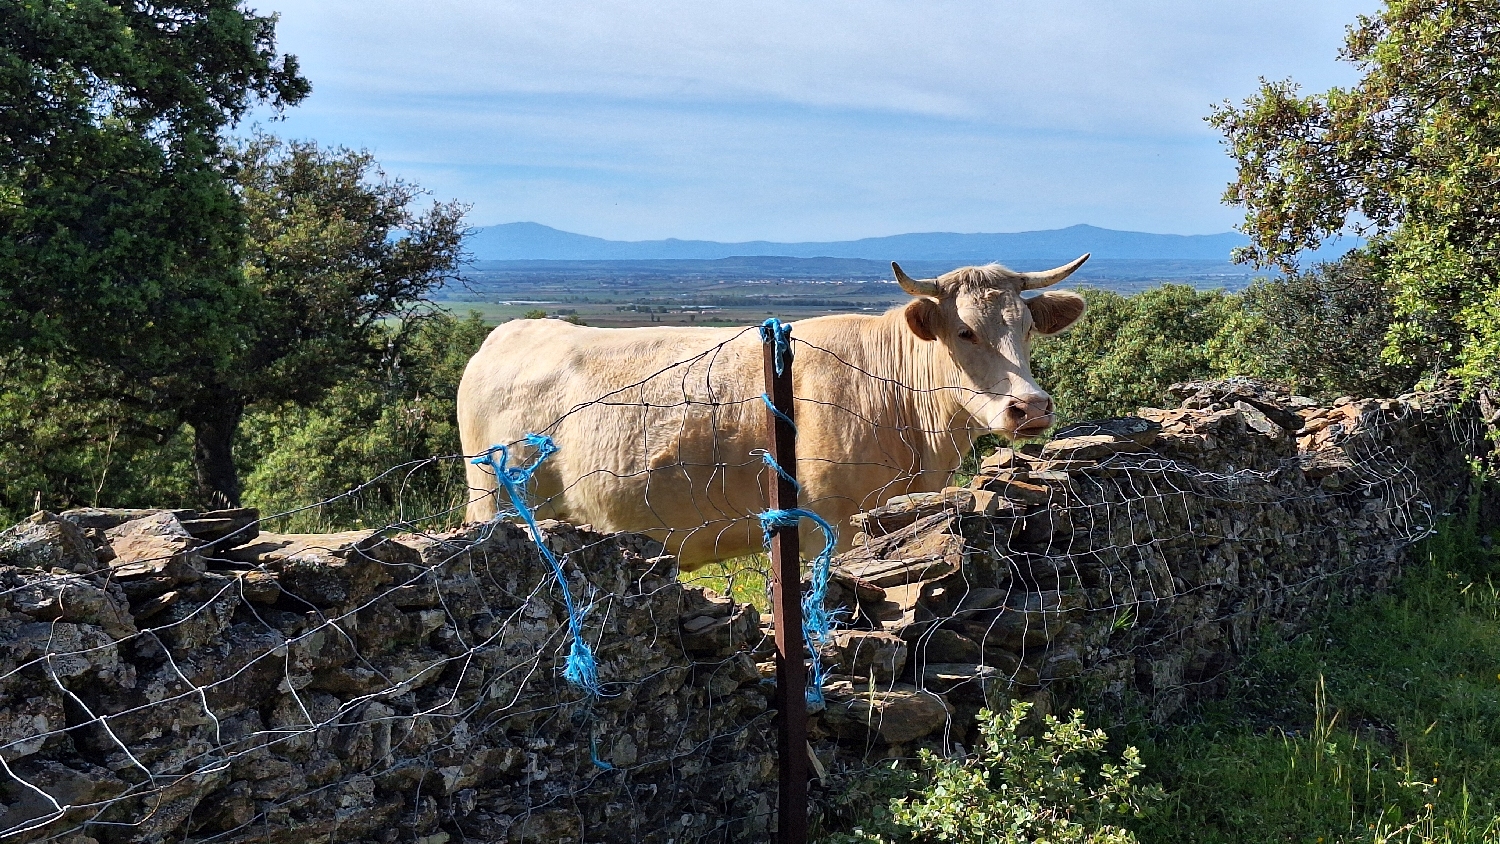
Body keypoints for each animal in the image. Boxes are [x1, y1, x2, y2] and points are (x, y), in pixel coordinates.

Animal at [456, 257, 1092, 572]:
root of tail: (506, 334)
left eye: (1027, 328)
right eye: (964, 332)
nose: (1031, 406)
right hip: (494, 500)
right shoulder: (824, 523)